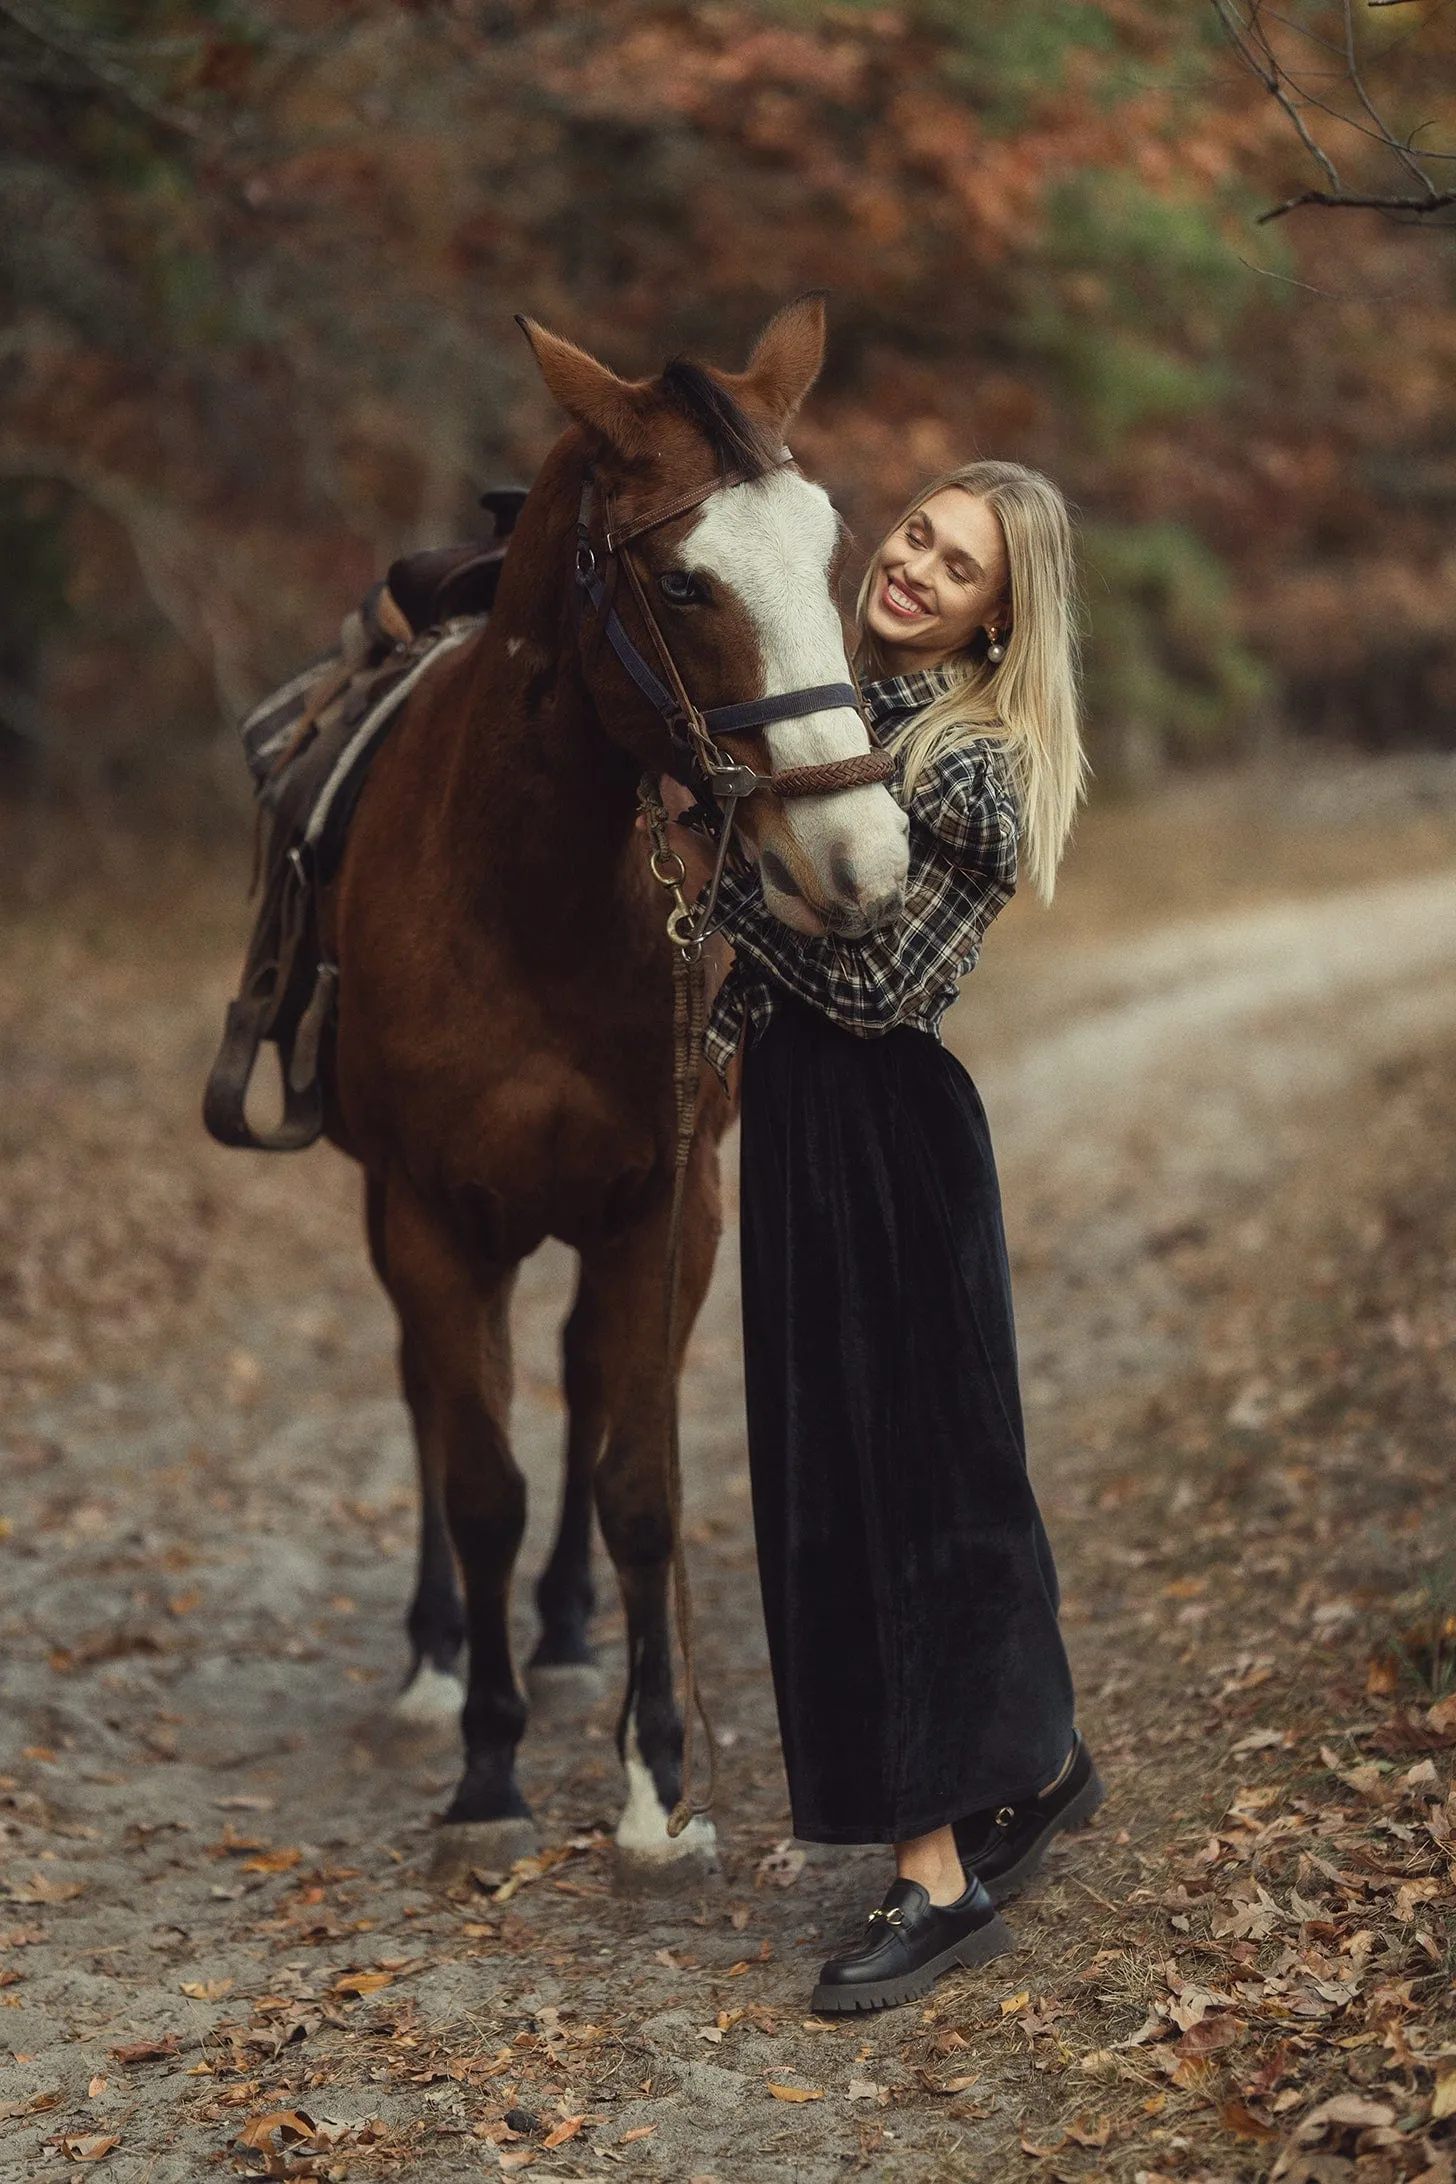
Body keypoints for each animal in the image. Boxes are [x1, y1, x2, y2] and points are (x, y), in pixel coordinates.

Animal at [325, 299, 903, 1886]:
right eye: (687, 581)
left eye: (831, 554)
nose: (862, 859)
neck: (528, 892)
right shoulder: (430, 1219)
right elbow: (480, 1483)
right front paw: (487, 1770)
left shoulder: (666, 1205)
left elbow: (636, 1476)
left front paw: (655, 1778)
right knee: (431, 1397)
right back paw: (439, 1656)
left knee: (583, 1386)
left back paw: (574, 1632)